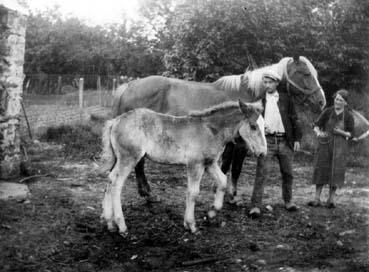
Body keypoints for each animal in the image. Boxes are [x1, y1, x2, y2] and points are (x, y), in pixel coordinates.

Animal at [100, 100, 266, 234]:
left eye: (264, 126)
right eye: (253, 126)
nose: (263, 153)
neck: (211, 130)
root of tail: (115, 121)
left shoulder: (210, 163)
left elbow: (223, 182)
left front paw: (211, 213)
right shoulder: (195, 164)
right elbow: (193, 193)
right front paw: (191, 225)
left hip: (119, 159)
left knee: (110, 179)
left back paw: (110, 223)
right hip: (129, 159)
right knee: (116, 185)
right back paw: (122, 226)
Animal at [112, 55, 324, 202]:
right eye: (306, 74)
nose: (322, 101)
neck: (245, 93)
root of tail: (129, 85)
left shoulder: (228, 143)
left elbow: (225, 166)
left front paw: (219, 190)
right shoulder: (241, 144)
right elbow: (236, 168)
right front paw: (232, 195)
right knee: (139, 164)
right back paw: (146, 193)